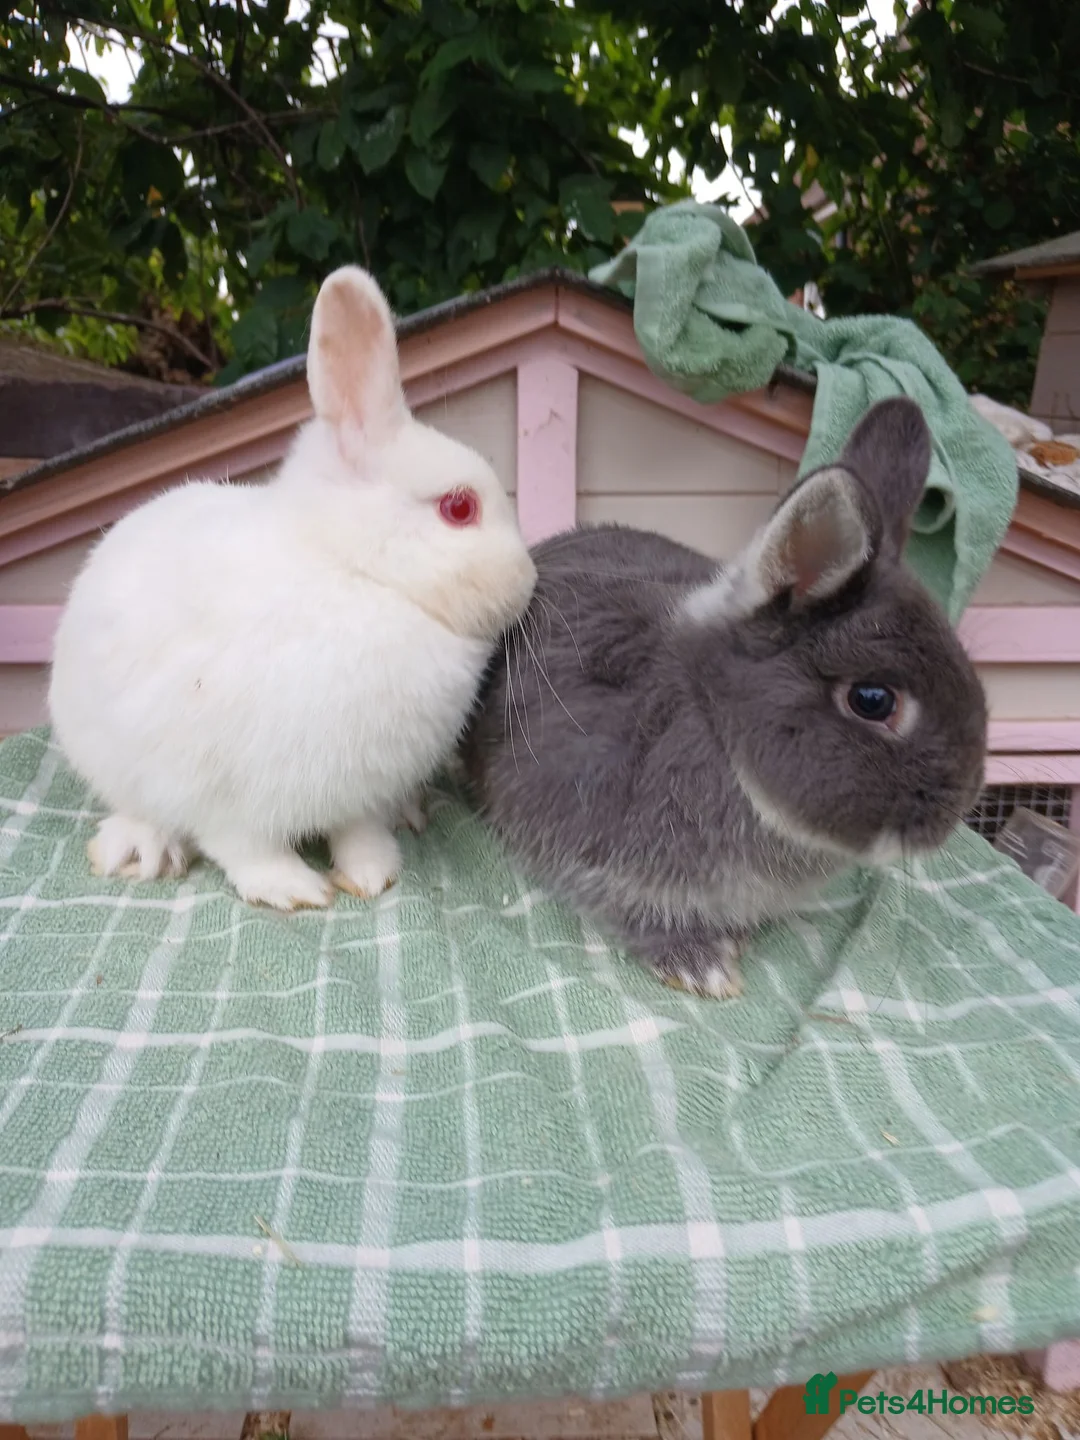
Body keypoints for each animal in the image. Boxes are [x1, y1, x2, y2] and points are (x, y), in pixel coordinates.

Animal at [48, 265, 537, 911]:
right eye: (460, 508)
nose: (527, 580)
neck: (356, 573)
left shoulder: (357, 791)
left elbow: (358, 831)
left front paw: (371, 874)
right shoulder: (220, 793)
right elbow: (246, 849)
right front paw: (296, 891)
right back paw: (141, 850)